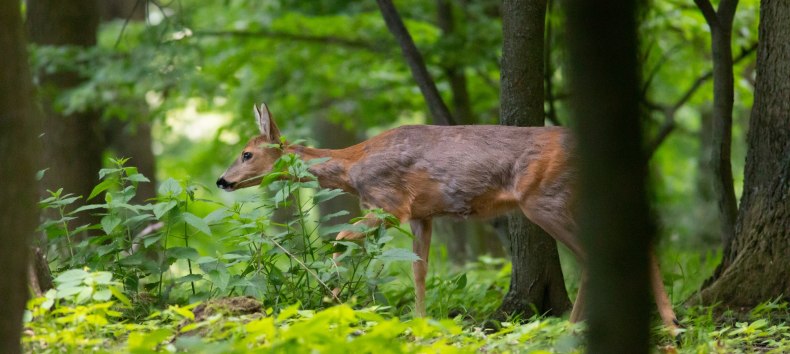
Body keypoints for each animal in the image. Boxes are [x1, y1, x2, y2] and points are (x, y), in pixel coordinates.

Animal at [215, 102, 680, 334]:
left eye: (247, 153)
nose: (221, 180)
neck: (352, 169)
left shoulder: (391, 204)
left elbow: (341, 237)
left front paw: (334, 294)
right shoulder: (423, 214)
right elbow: (419, 271)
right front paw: (421, 323)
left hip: (545, 199)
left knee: (594, 256)